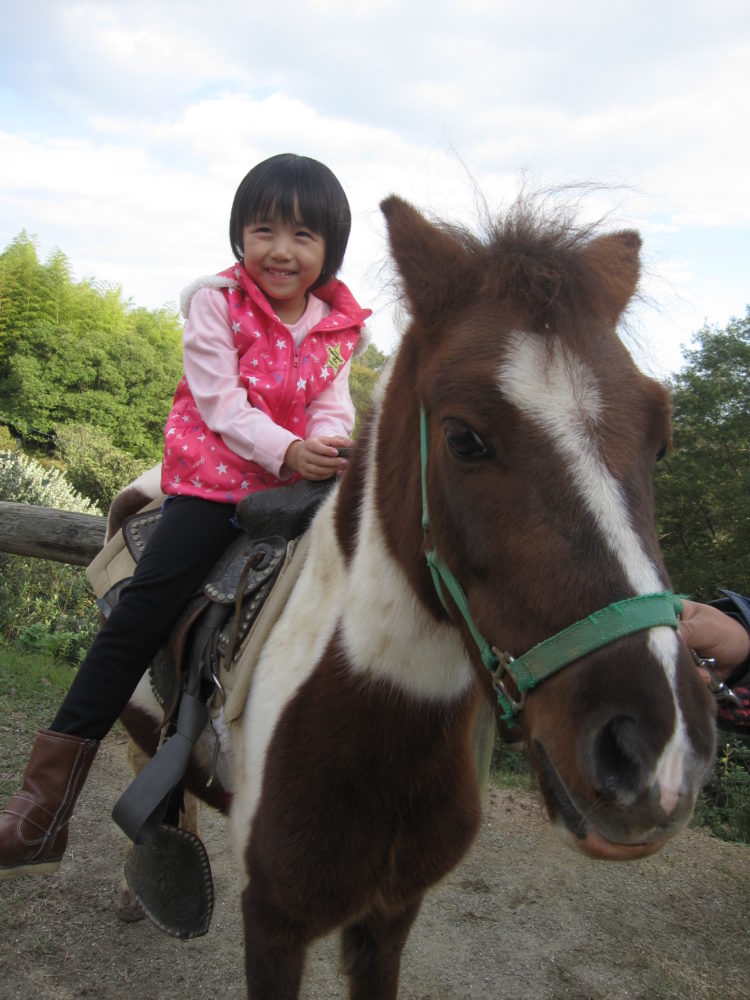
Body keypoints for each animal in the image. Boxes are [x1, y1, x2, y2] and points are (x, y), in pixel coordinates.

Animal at [116, 195, 716, 1000]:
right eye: (463, 439)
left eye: (660, 439)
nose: (657, 754)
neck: (376, 720)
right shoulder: (272, 919)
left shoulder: (391, 914)